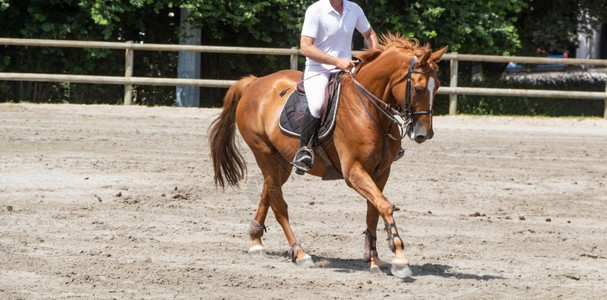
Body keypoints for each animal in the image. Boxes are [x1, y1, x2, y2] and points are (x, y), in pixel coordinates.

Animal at [209, 34, 446, 278]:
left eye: (436, 87)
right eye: (418, 89)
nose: (423, 134)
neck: (368, 109)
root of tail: (255, 82)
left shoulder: (381, 172)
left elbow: (374, 209)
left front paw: (373, 258)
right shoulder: (353, 171)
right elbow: (385, 206)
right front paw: (399, 257)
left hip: (281, 161)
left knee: (268, 192)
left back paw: (256, 241)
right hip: (264, 153)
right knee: (279, 204)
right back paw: (299, 252)